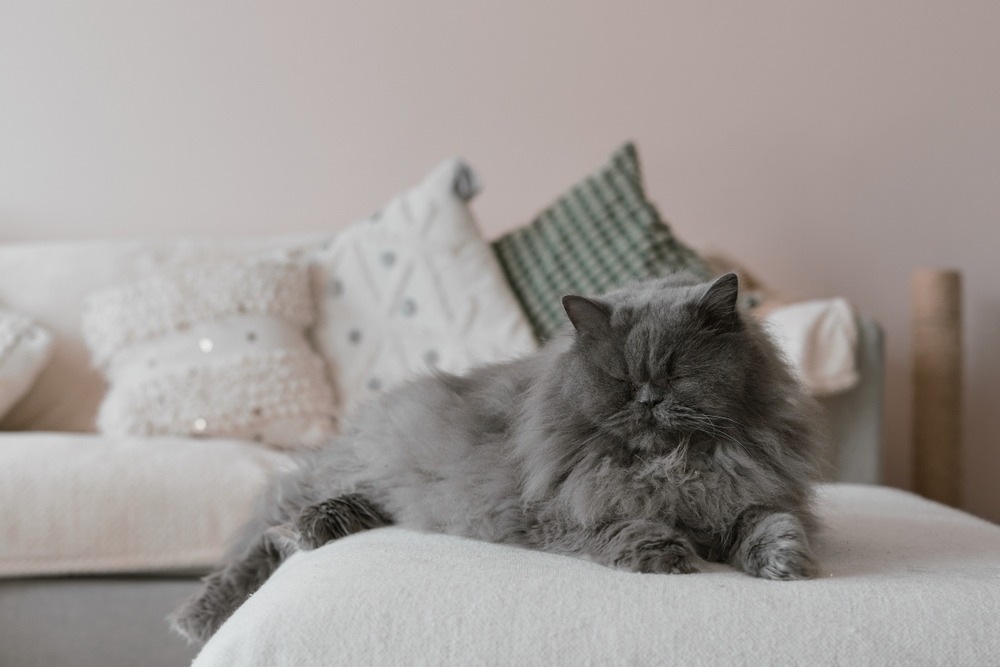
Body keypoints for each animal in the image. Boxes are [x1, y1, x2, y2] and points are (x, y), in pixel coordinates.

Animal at [172, 274, 824, 644]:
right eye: (620, 379)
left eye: (678, 373)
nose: (648, 399)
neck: (669, 468)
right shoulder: (556, 510)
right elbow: (624, 525)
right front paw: (668, 556)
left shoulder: (751, 493)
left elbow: (770, 524)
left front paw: (785, 564)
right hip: (346, 475)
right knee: (264, 538)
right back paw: (199, 615)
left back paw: (320, 529)